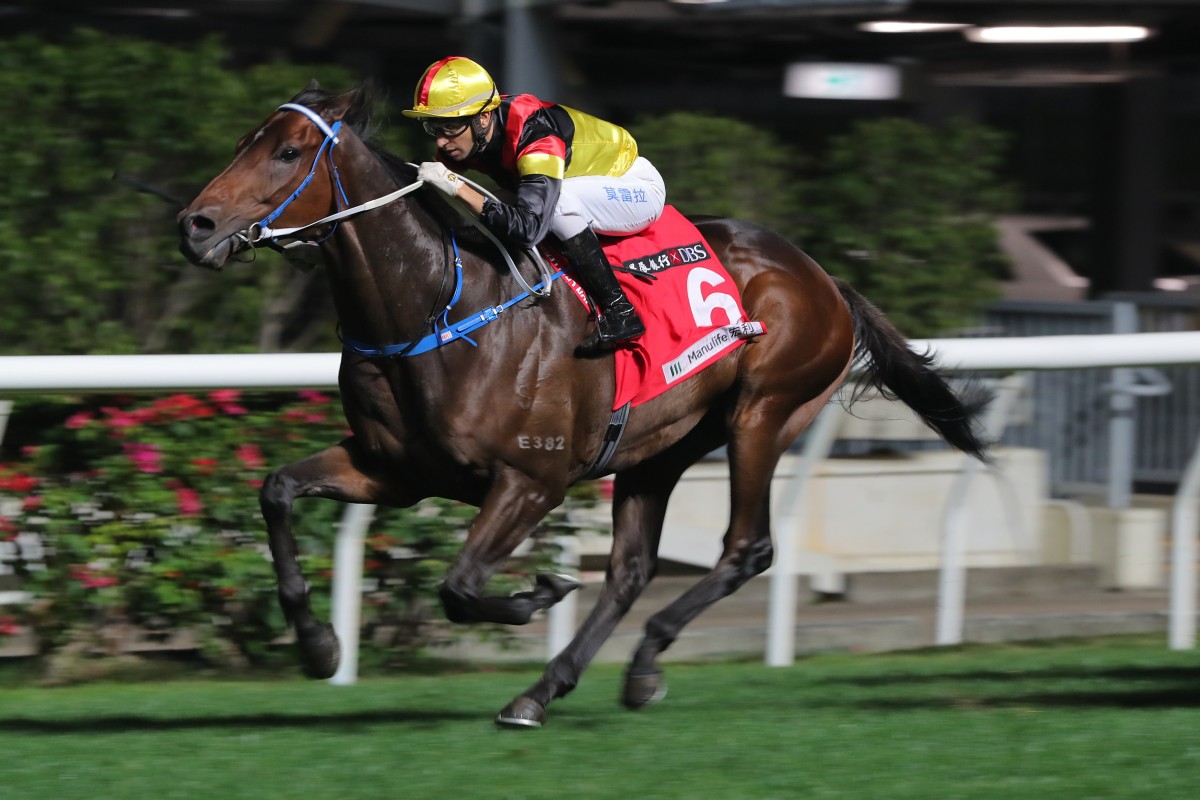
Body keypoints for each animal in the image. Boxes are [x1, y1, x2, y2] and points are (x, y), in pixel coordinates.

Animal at [175, 84, 984, 729]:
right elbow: (276, 490)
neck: (437, 309)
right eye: (246, 142)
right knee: (630, 569)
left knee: (746, 547)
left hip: (765, 412)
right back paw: (554, 687)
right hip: (661, 446)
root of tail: (821, 277)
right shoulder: (393, 469)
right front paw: (319, 646)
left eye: (287, 152)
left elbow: (459, 587)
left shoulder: (533, 481)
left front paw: (539, 591)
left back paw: (635, 663)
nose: (195, 225)